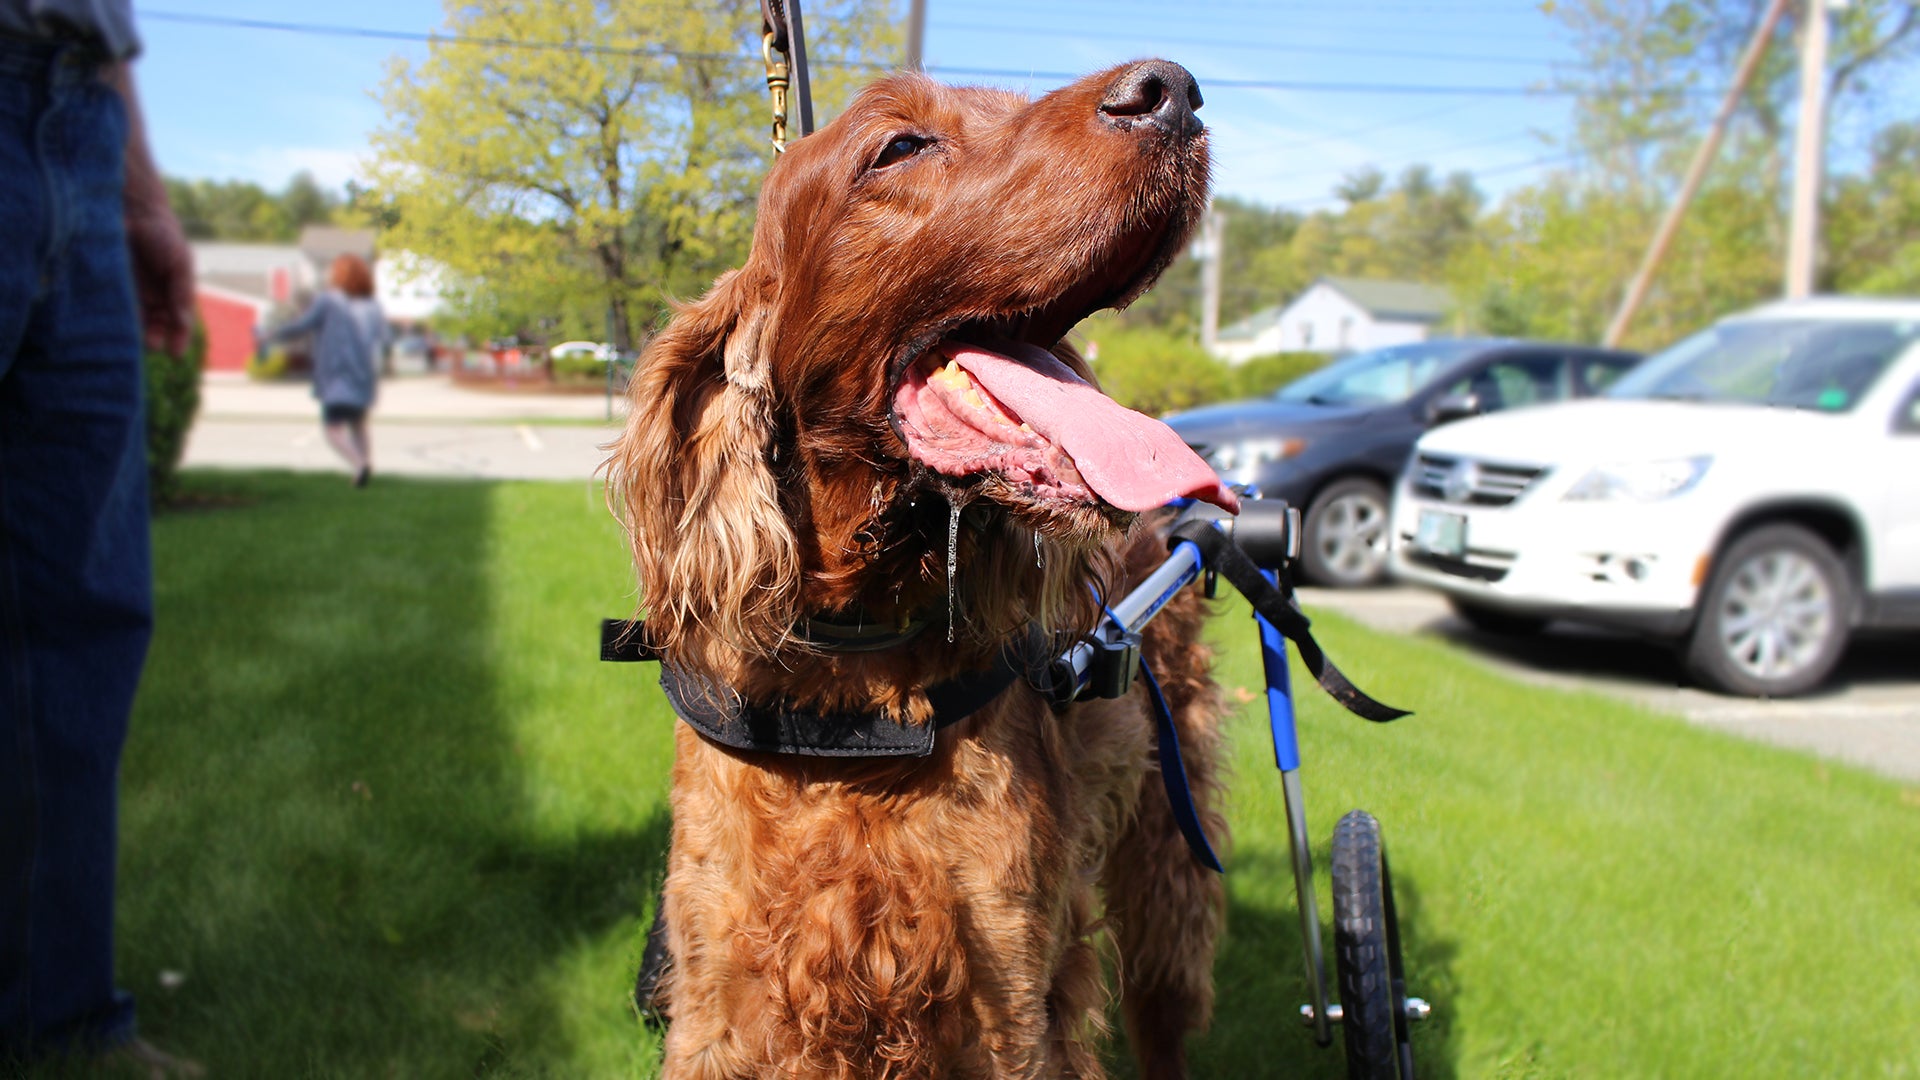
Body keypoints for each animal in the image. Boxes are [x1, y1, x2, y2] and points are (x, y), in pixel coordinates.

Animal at [610, 61, 1244, 1076]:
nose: (1174, 90)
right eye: (899, 146)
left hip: (1166, 862)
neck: (852, 686)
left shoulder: (1009, 1001)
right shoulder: (722, 997)